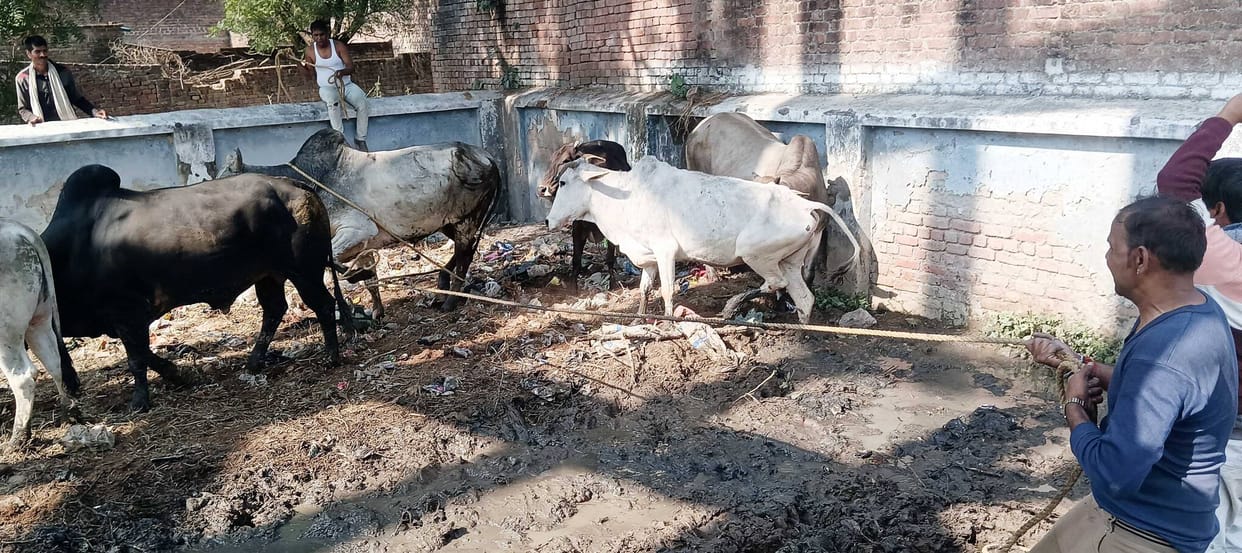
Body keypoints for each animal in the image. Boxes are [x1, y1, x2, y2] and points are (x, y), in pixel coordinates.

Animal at [0, 220, 79, 450]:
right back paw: (68, 413)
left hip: (6, 332)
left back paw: (18, 438)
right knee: (54, 362)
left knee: (24, 377)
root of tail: (18, 229)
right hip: (40, 320)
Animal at [41, 165, 352, 412]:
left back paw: (330, 356)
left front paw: (140, 401)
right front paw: (178, 375)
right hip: (269, 275)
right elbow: (145, 354)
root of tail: (297, 186)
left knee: (323, 305)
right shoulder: (123, 321)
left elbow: (136, 359)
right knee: (275, 309)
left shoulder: (127, 312)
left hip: (305, 272)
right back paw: (254, 362)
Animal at [218, 129, 501, 318]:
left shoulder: (357, 231)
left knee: (465, 255)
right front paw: (377, 311)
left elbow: (334, 263)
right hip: (448, 223)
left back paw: (451, 300)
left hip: (467, 220)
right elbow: (370, 278)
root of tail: (488, 156)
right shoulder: (363, 244)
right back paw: (443, 282)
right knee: (462, 252)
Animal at [537, 140, 632, 290]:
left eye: (565, 160)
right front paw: (573, 290)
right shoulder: (577, 228)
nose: (541, 189)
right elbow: (576, 261)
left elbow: (610, 259)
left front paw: (612, 285)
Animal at [544, 156, 860, 324]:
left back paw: (731, 306)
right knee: (804, 298)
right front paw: (637, 320)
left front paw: (668, 323)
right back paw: (803, 329)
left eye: (563, 182)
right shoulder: (648, 258)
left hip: (757, 254)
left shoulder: (665, 251)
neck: (626, 195)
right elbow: (644, 290)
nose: (548, 221)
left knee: (776, 283)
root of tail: (805, 205)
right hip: (790, 261)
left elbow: (667, 291)